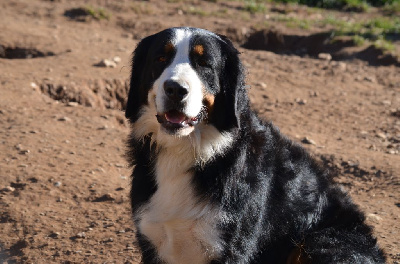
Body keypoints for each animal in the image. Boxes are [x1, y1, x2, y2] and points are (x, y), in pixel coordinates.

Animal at [124, 27, 384, 264]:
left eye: (204, 64)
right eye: (160, 58)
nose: (176, 89)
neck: (190, 150)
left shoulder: (230, 246)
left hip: (320, 243)